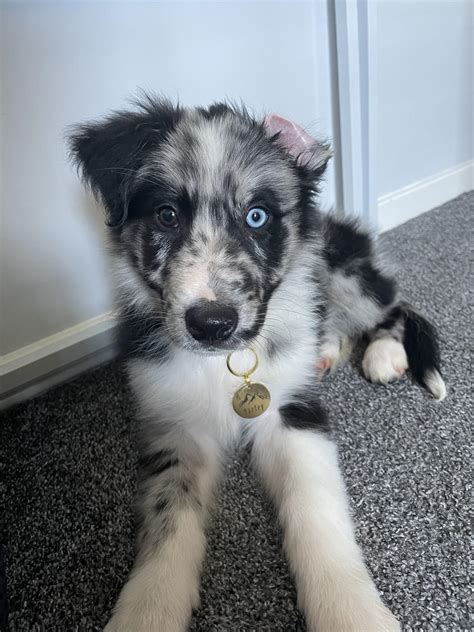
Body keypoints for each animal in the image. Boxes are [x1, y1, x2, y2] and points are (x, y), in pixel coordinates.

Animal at [69, 96, 444, 628]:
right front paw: (148, 607)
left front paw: (349, 608)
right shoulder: (175, 424)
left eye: (257, 217)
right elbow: (168, 518)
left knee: (392, 309)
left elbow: (315, 504)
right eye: (166, 215)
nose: (212, 324)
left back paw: (383, 352)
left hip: (347, 271)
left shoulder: (293, 412)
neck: (225, 362)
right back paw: (325, 347)